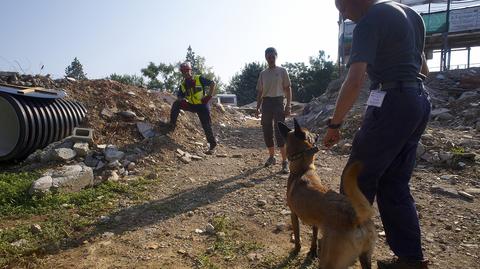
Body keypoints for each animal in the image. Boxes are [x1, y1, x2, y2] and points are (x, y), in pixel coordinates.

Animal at [280, 119, 376, 268]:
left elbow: (297, 237)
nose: (318, 133)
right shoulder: (315, 222)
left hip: (329, 261)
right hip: (365, 257)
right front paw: (312, 251)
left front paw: (296, 250)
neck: (304, 169)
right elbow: (314, 236)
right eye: (311, 133)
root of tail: (357, 217)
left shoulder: (293, 214)